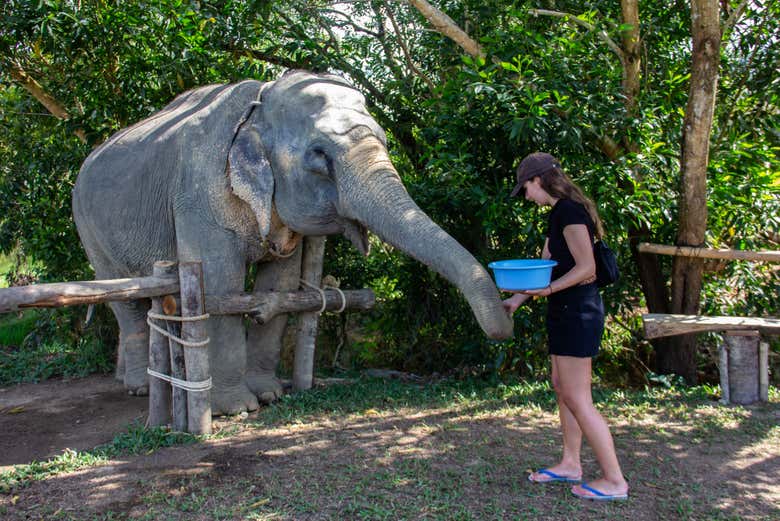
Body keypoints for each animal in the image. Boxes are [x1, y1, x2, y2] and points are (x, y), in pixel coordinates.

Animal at [71, 70, 512, 414]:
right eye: (319, 155)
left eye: (386, 143)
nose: (504, 328)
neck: (261, 104)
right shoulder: (198, 191)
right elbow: (220, 286)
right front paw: (237, 408)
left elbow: (279, 285)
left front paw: (269, 395)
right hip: (88, 227)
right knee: (125, 302)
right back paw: (140, 387)